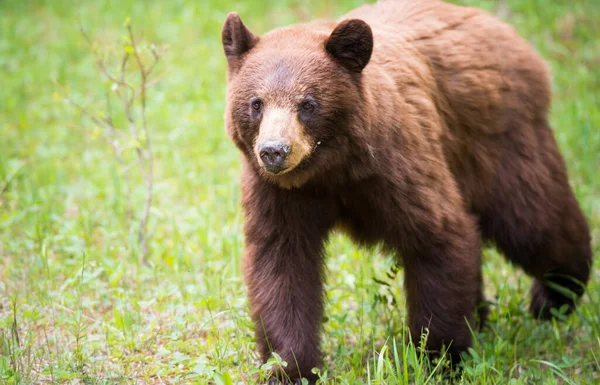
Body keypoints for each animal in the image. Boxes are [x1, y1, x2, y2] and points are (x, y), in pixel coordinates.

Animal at [219, 0, 592, 380]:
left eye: (308, 103)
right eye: (256, 103)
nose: (274, 151)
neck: (332, 171)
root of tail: (503, 30)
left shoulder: (397, 166)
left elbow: (439, 235)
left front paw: (441, 357)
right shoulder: (278, 194)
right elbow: (281, 265)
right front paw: (289, 369)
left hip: (500, 142)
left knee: (533, 220)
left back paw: (555, 296)